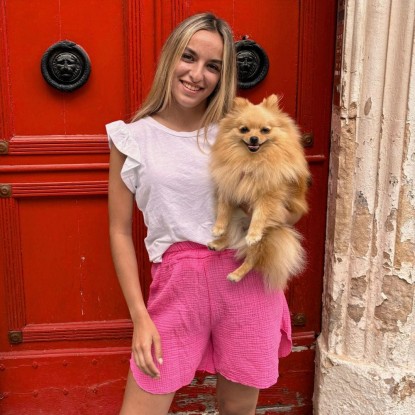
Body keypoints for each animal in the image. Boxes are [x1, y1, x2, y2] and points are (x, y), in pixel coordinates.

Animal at [210, 94, 310, 290]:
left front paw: (254, 233)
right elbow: (223, 210)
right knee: (231, 236)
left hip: (267, 235)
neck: (252, 161)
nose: (254, 138)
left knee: (252, 258)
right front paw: (218, 228)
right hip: (236, 218)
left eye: (265, 130)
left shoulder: (268, 196)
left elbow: (260, 215)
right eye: (244, 130)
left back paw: (237, 273)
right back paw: (218, 243)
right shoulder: (229, 186)